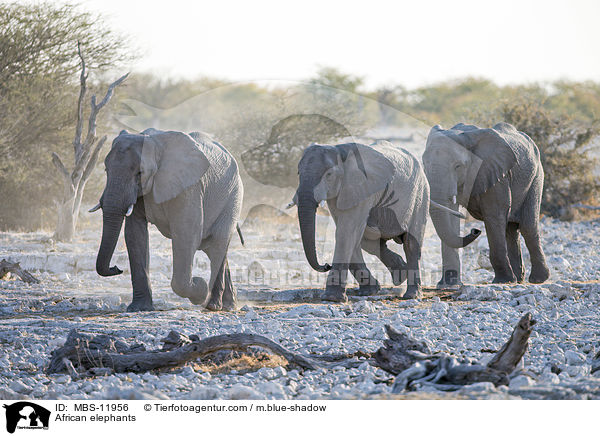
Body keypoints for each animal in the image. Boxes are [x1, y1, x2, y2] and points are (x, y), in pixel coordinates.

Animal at [91, 127, 244, 312]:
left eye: (140, 173)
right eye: (106, 170)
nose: (116, 268)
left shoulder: (189, 187)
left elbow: (186, 232)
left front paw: (200, 287)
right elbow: (134, 235)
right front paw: (139, 308)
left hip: (233, 197)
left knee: (218, 243)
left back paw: (213, 305)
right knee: (214, 247)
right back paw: (228, 305)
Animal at [290, 141, 464, 302]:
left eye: (329, 175)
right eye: (298, 172)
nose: (326, 265)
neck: (339, 150)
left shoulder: (362, 187)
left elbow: (346, 231)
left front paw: (331, 298)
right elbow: (349, 232)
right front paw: (369, 291)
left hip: (420, 195)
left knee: (411, 243)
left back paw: (411, 295)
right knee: (367, 239)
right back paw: (400, 274)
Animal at [422, 122, 548, 286]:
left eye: (458, 166)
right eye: (424, 163)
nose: (475, 230)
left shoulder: (495, 173)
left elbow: (494, 216)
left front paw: (502, 281)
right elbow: (450, 216)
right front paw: (447, 285)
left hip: (537, 176)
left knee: (528, 227)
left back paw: (537, 279)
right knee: (510, 229)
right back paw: (518, 280)